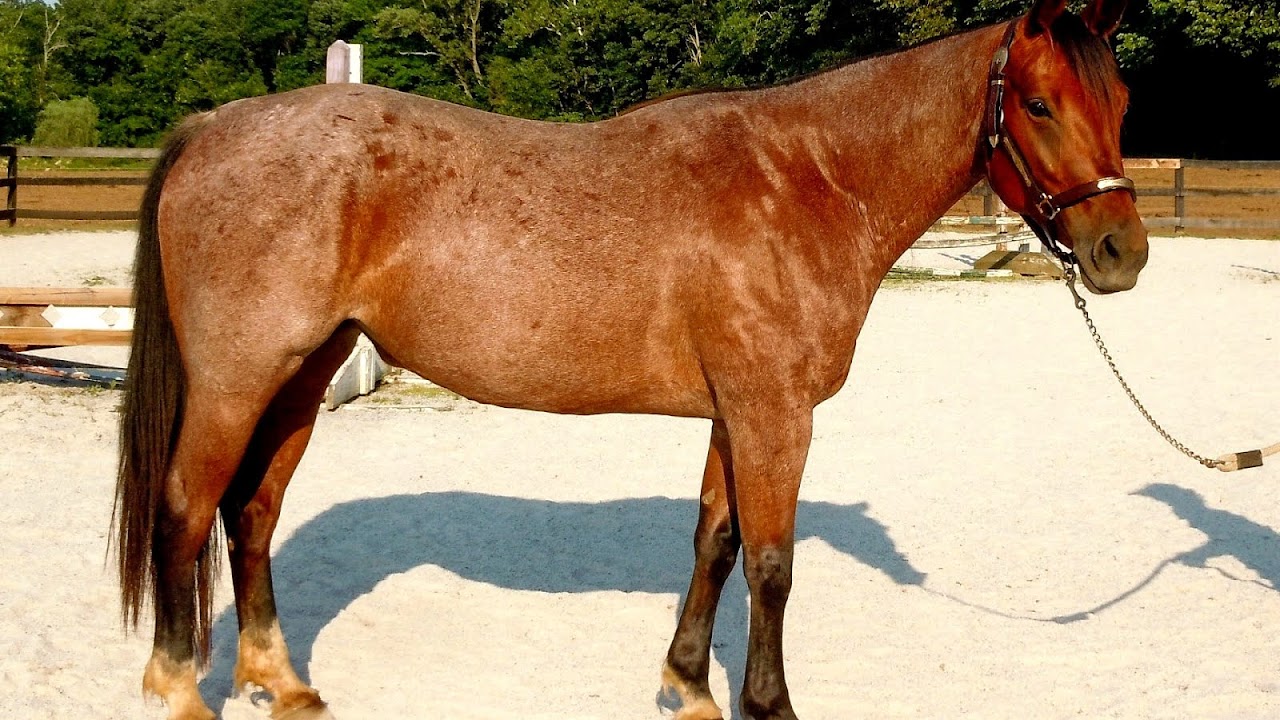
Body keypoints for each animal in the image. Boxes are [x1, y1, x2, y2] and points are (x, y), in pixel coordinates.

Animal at [113, 0, 1146, 717]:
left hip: (303, 373)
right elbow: (773, 562)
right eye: (1040, 105)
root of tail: (216, 124)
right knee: (187, 507)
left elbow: (716, 542)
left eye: (1122, 100)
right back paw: (178, 688)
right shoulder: (774, 412)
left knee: (250, 513)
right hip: (239, 379)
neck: (804, 181)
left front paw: (687, 684)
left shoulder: (737, 411)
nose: (1120, 253)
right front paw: (767, 702)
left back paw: (280, 683)